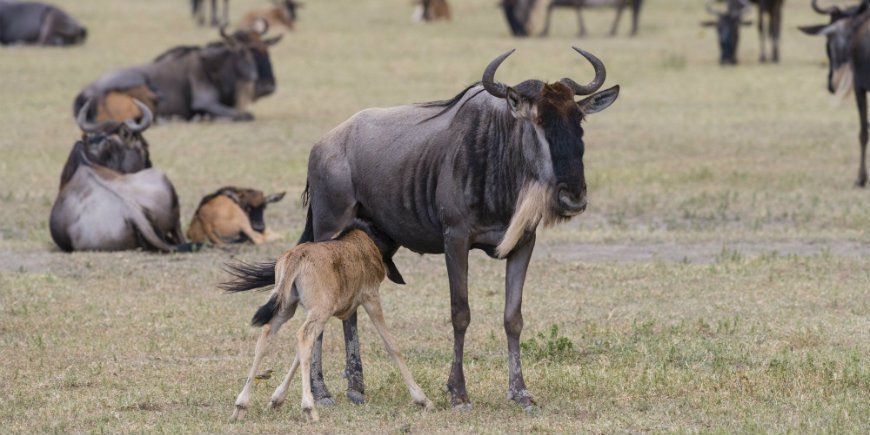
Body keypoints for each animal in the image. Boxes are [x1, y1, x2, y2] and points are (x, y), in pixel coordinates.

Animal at [223, 220, 430, 424]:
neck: (366, 238)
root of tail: (296, 256)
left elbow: (300, 356)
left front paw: (277, 399)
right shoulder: (371, 298)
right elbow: (391, 344)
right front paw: (422, 398)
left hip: (287, 307)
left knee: (268, 336)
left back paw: (241, 405)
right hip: (320, 310)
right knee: (304, 337)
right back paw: (309, 408)